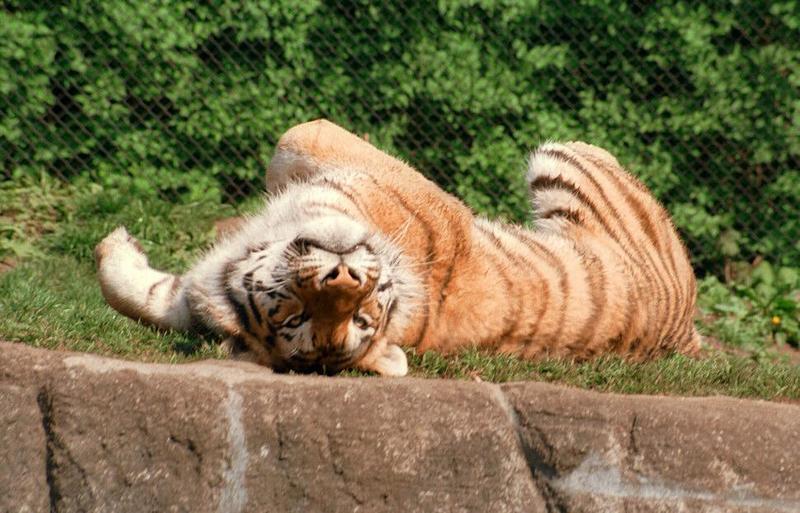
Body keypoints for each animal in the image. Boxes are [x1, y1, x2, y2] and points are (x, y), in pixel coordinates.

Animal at [95, 120, 700, 376]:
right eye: (295, 317)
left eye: (362, 315)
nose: (347, 274)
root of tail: (688, 335)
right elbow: (141, 294)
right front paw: (118, 245)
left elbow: (294, 139)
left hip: (563, 154)